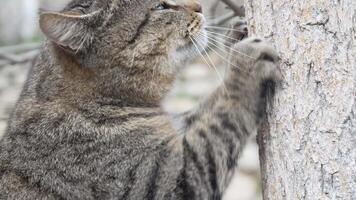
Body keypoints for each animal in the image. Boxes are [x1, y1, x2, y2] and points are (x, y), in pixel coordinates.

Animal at [0, 0, 280, 200]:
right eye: (160, 6)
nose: (199, 6)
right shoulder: (175, 180)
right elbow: (225, 114)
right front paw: (245, 64)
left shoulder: (179, 128)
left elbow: (207, 110)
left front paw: (237, 35)